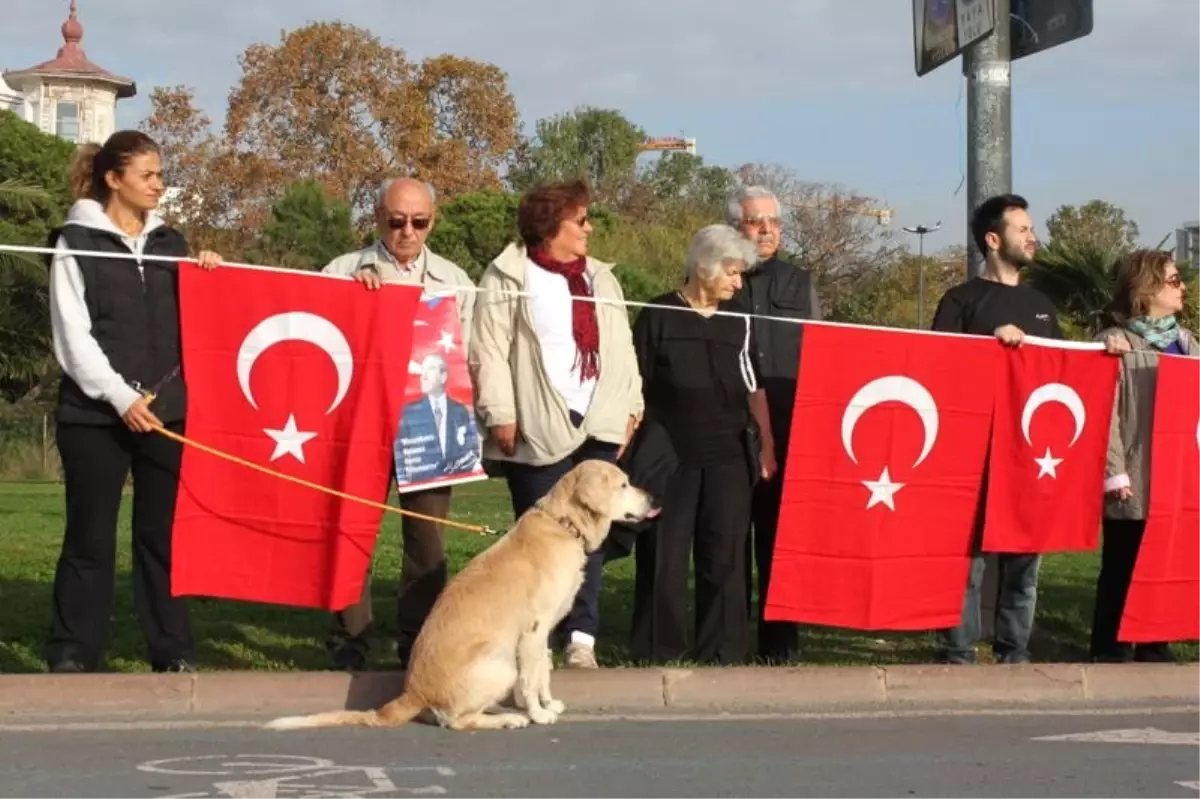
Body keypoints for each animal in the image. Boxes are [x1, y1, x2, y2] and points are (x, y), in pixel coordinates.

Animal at [265, 458, 657, 729]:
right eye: (624, 484)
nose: (653, 496)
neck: (563, 525)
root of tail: (412, 693)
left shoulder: (542, 632)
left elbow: (543, 671)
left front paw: (548, 704)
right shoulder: (532, 631)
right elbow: (532, 678)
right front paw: (539, 713)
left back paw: (503, 709)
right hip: (498, 662)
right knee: (457, 720)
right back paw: (509, 719)